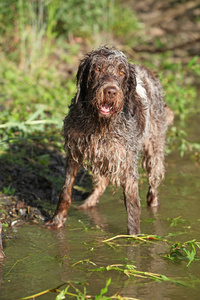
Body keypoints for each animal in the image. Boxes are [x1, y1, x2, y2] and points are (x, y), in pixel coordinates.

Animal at [46, 46, 173, 234]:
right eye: (97, 69)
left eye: (121, 72)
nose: (111, 92)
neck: (100, 124)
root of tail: (147, 70)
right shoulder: (74, 152)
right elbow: (65, 191)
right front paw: (57, 220)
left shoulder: (127, 161)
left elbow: (133, 203)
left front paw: (134, 237)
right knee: (102, 181)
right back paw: (88, 203)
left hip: (153, 150)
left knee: (153, 186)